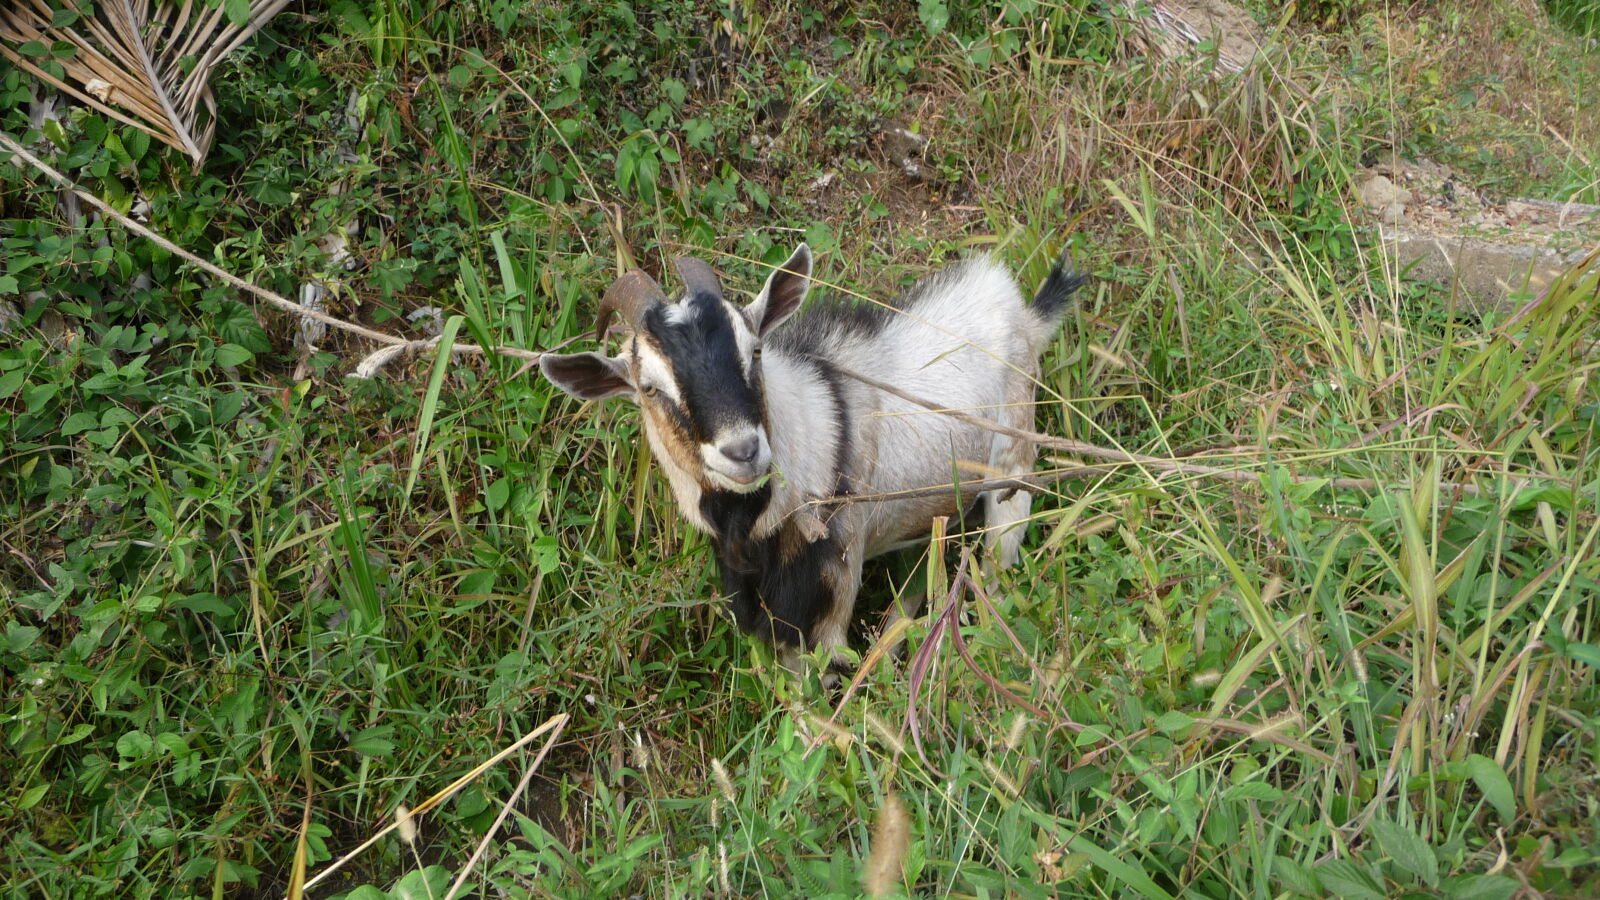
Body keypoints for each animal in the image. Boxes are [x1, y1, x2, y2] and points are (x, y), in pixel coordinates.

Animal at [540, 245, 1084, 672]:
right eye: (649, 388)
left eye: (755, 351)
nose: (743, 451)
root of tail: (1023, 311)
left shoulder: (832, 590)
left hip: (1012, 471)